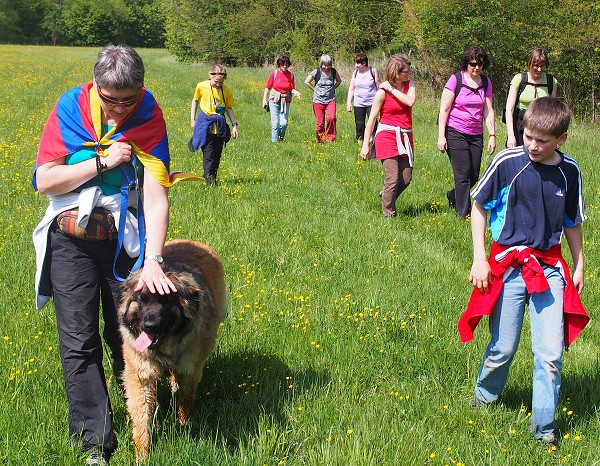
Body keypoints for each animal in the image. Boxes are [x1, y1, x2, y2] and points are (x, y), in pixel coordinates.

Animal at [118, 240, 227, 458]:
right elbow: (142, 414)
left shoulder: (190, 369)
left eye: (166, 300)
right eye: (141, 299)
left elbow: (186, 398)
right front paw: (142, 455)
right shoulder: (140, 375)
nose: (149, 325)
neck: (165, 347)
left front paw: (186, 426)